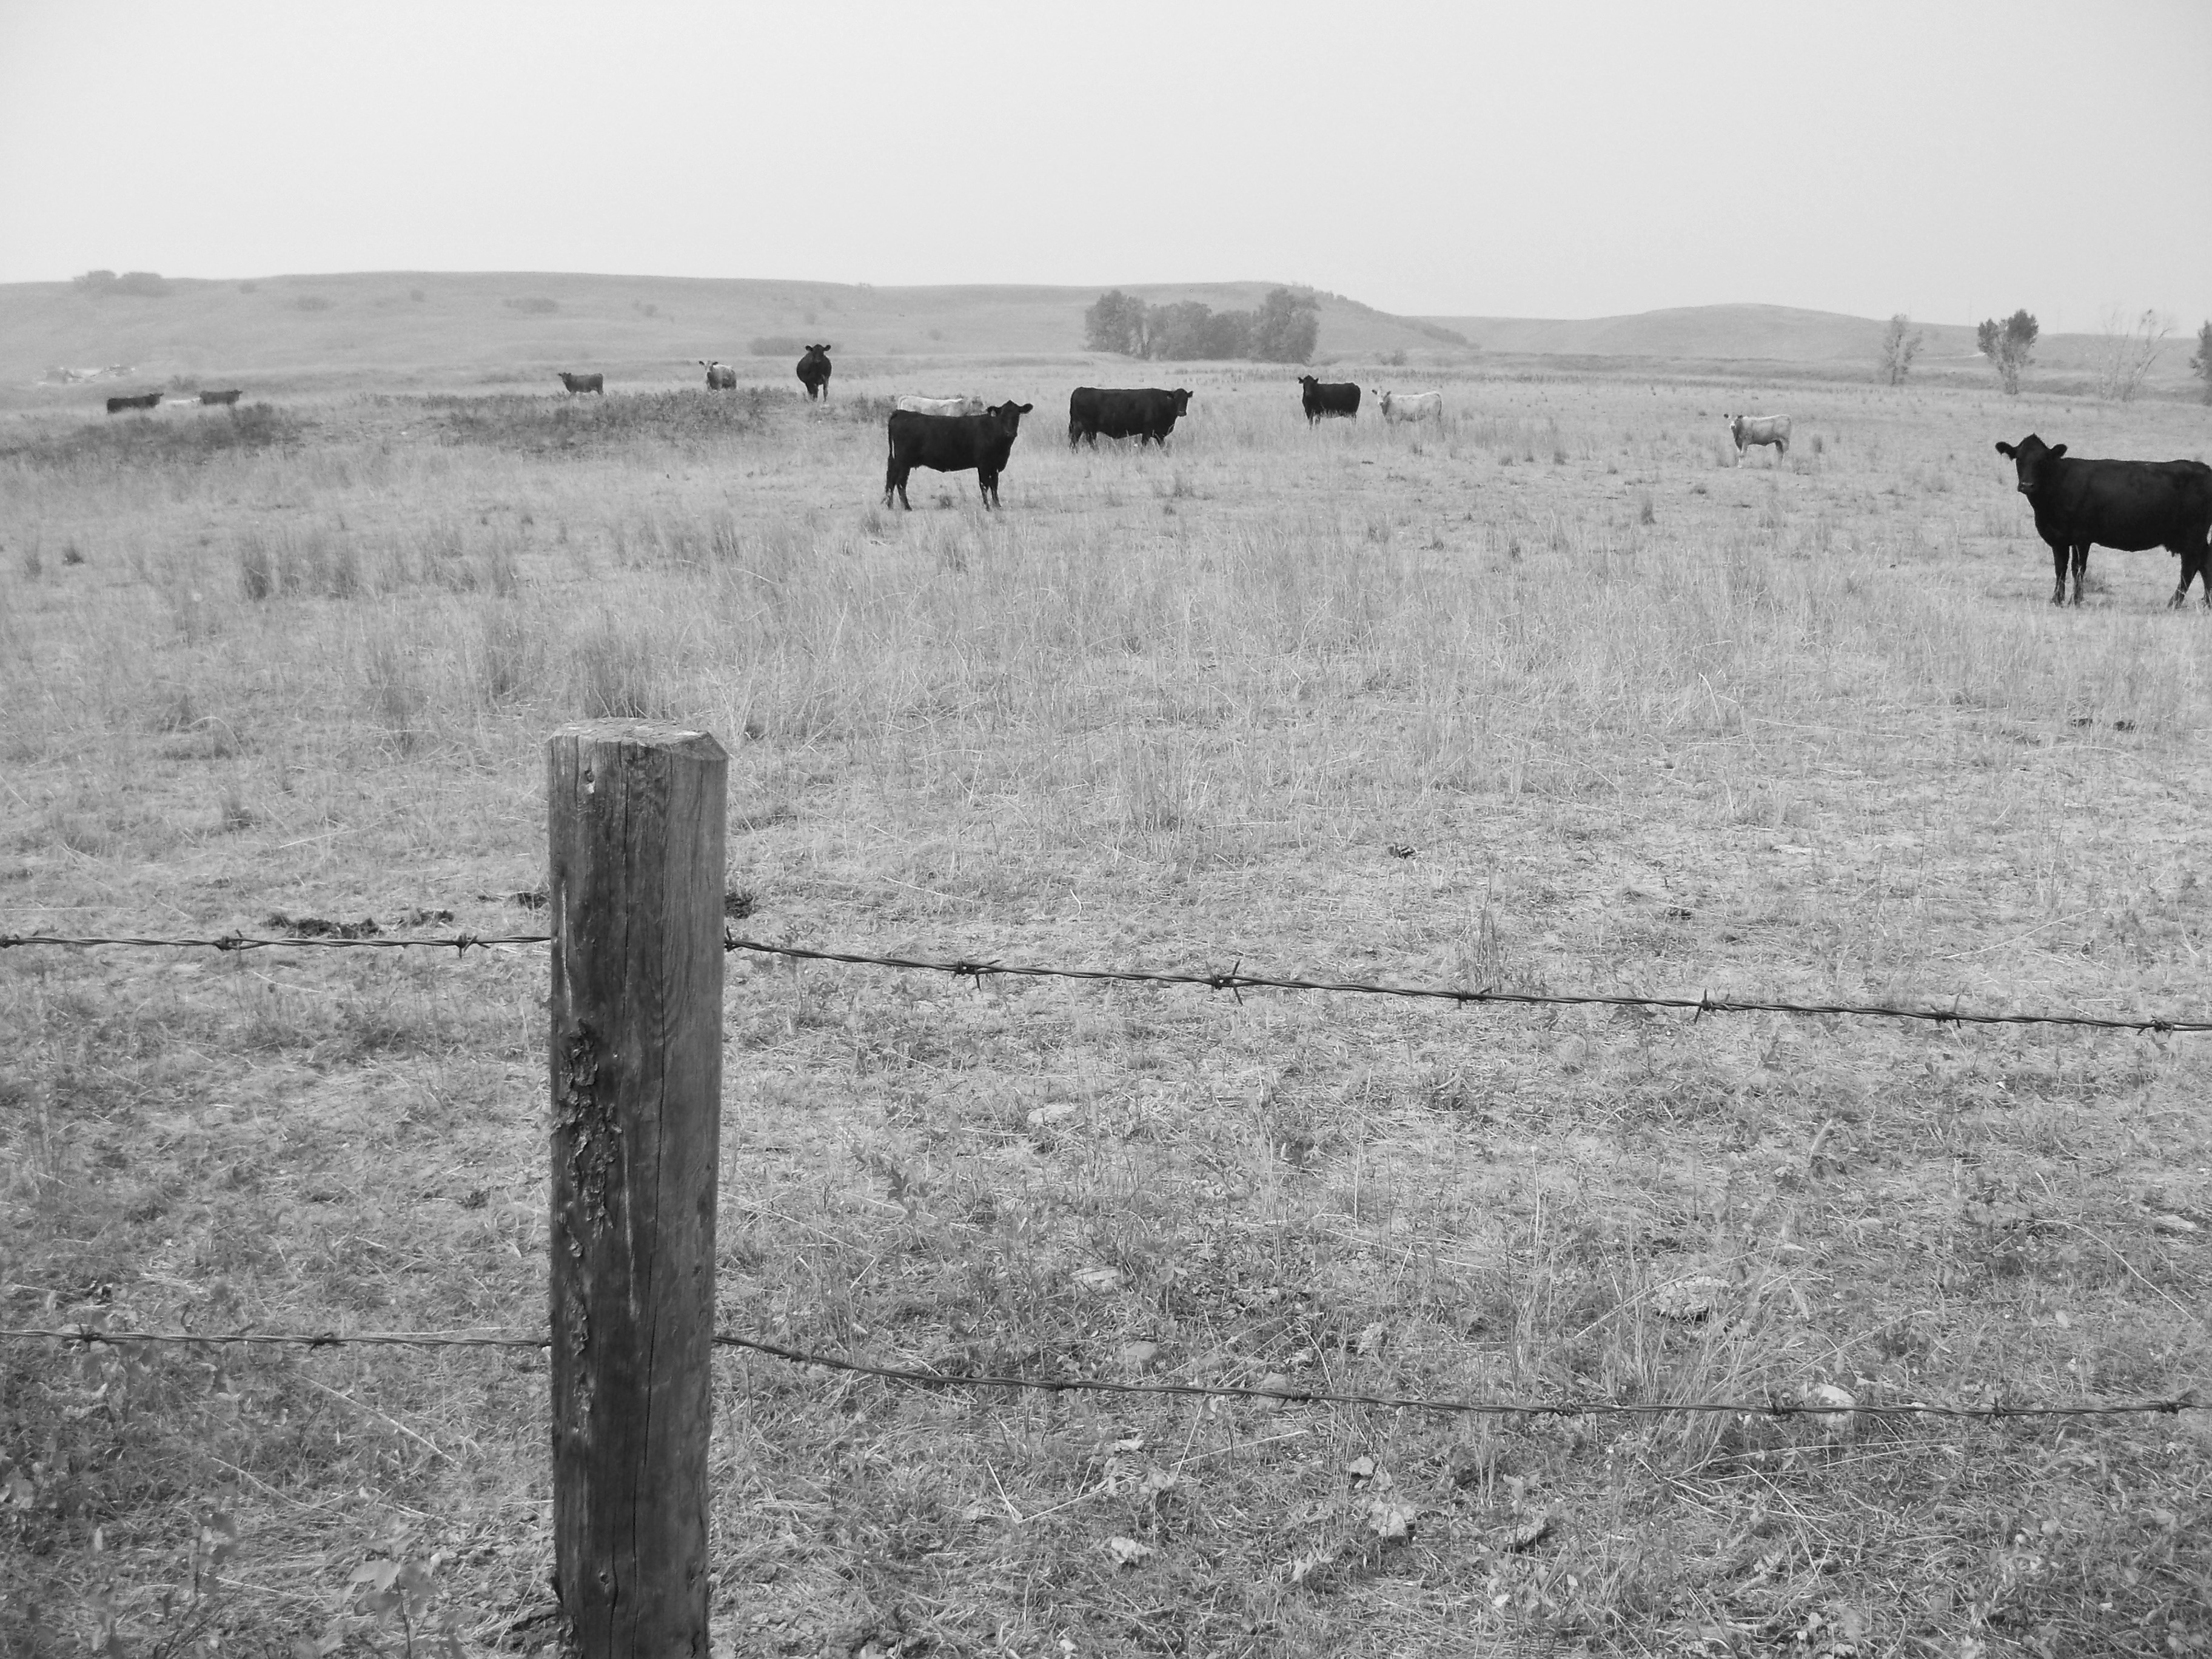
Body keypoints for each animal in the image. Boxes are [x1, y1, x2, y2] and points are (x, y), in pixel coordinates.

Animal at [884, 401, 1034, 510]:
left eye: (1017, 416)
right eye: (1002, 416)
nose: (1010, 433)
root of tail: (901, 413)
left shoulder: (995, 466)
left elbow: (995, 485)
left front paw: (997, 505)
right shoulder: (984, 464)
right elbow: (984, 485)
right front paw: (987, 506)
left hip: (896, 461)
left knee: (891, 480)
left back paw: (890, 505)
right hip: (904, 462)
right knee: (901, 483)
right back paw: (907, 507)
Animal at [1067, 386, 1193, 449]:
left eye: (1186, 399)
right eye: (1175, 399)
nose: (1182, 412)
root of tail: (1080, 389)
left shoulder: (1159, 434)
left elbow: (1163, 446)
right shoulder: (1147, 431)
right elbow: (1144, 445)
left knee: (1075, 441)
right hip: (1087, 427)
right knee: (1086, 441)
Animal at [1994, 434, 2212, 608]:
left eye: (2042, 461)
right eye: (2019, 459)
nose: (2027, 485)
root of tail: (2203, 468)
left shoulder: (2082, 536)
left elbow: (2078, 568)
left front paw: (2076, 600)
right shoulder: (2058, 538)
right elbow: (2060, 568)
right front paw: (2056, 599)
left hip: (2192, 536)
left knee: (2190, 566)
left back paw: (2174, 603)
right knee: (2205, 562)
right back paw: (2207, 603)